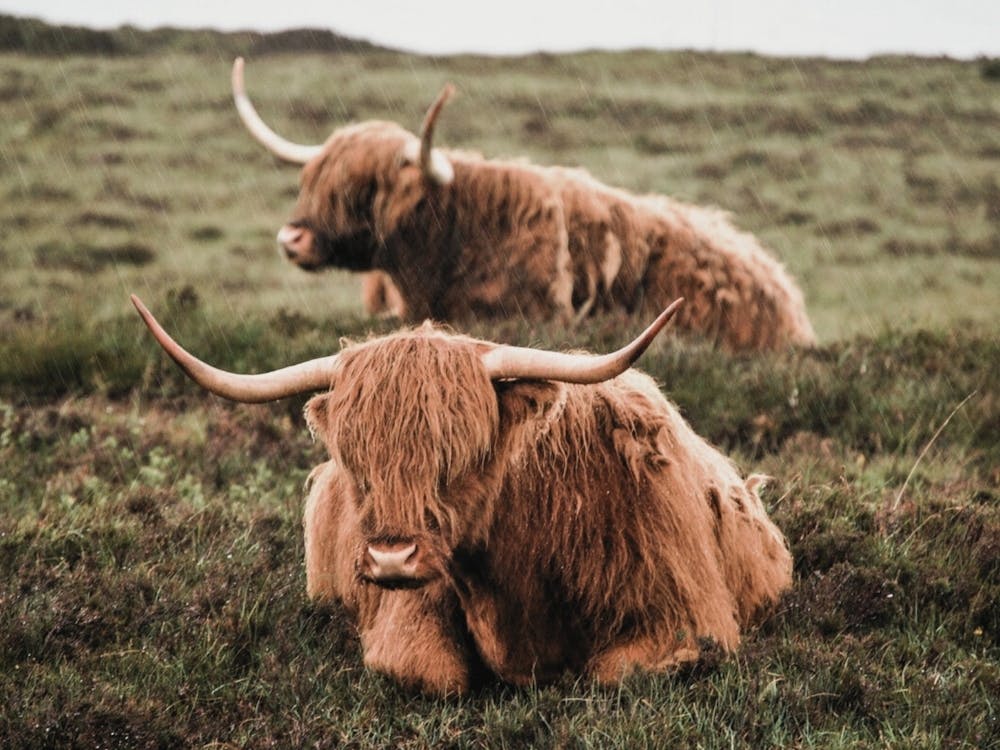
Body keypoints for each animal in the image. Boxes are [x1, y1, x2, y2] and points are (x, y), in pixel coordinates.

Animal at [132, 294, 793, 694]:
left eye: (458, 456)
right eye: (358, 462)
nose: (391, 558)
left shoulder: (683, 620)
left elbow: (612, 672)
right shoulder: (410, 614)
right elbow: (433, 673)